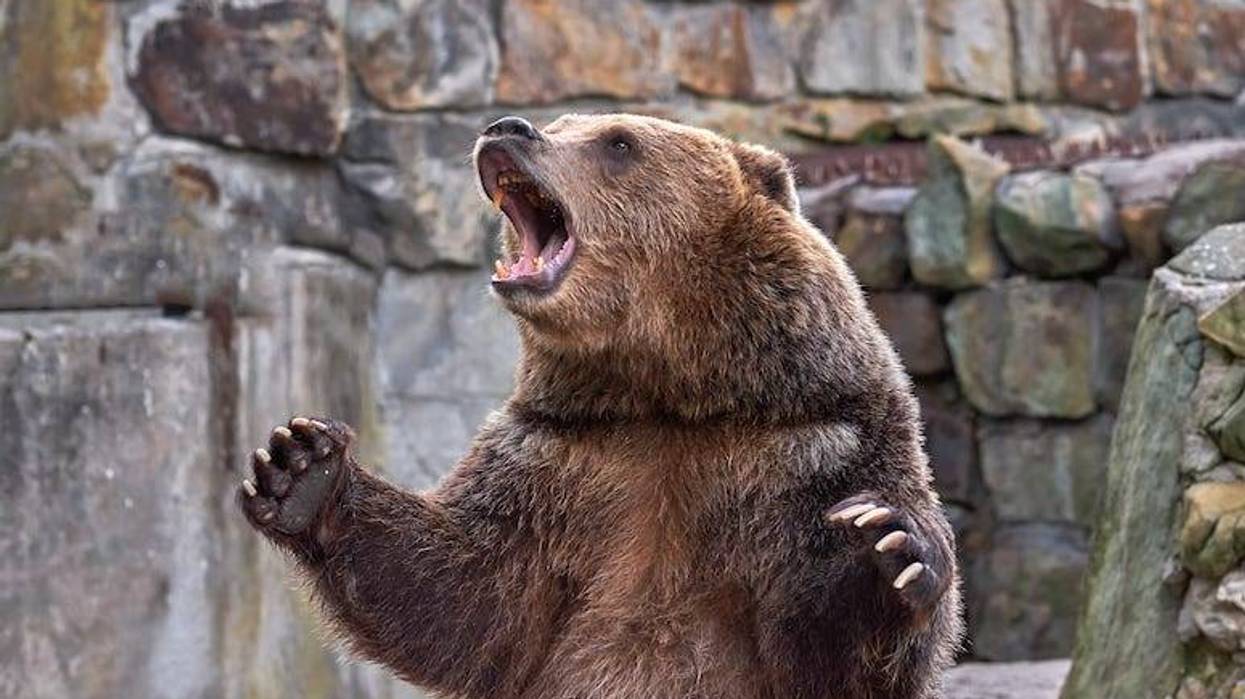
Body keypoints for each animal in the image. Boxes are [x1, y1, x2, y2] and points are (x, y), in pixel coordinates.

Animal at [239, 113, 963, 699]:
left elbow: (828, 651)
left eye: (618, 141)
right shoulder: (557, 458)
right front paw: (301, 466)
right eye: (562, 122)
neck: (668, 393)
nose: (507, 128)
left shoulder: (818, 444)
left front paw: (880, 548)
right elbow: (462, 596)